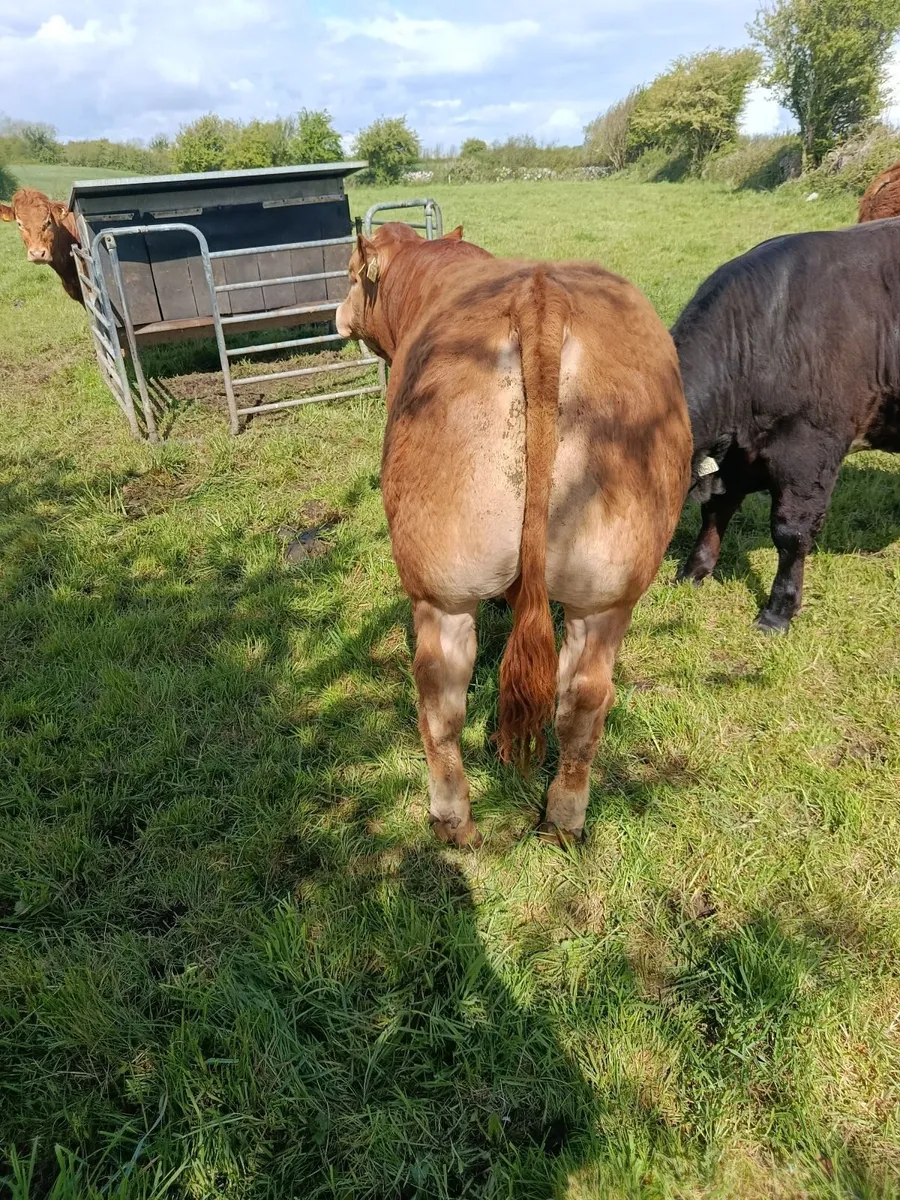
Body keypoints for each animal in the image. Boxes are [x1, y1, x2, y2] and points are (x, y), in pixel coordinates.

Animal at [335, 223, 691, 847]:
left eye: (352, 276)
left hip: (439, 590)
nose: (338, 315)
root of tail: (541, 295)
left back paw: (451, 822)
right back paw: (564, 820)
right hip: (606, 592)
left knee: (439, 702)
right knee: (582, 701)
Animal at [673, 219, 900, 633]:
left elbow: (791, 532)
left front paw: (778, 611)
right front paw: (693, 572)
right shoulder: (735, 457)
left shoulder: (808, 453)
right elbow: (715, 509)